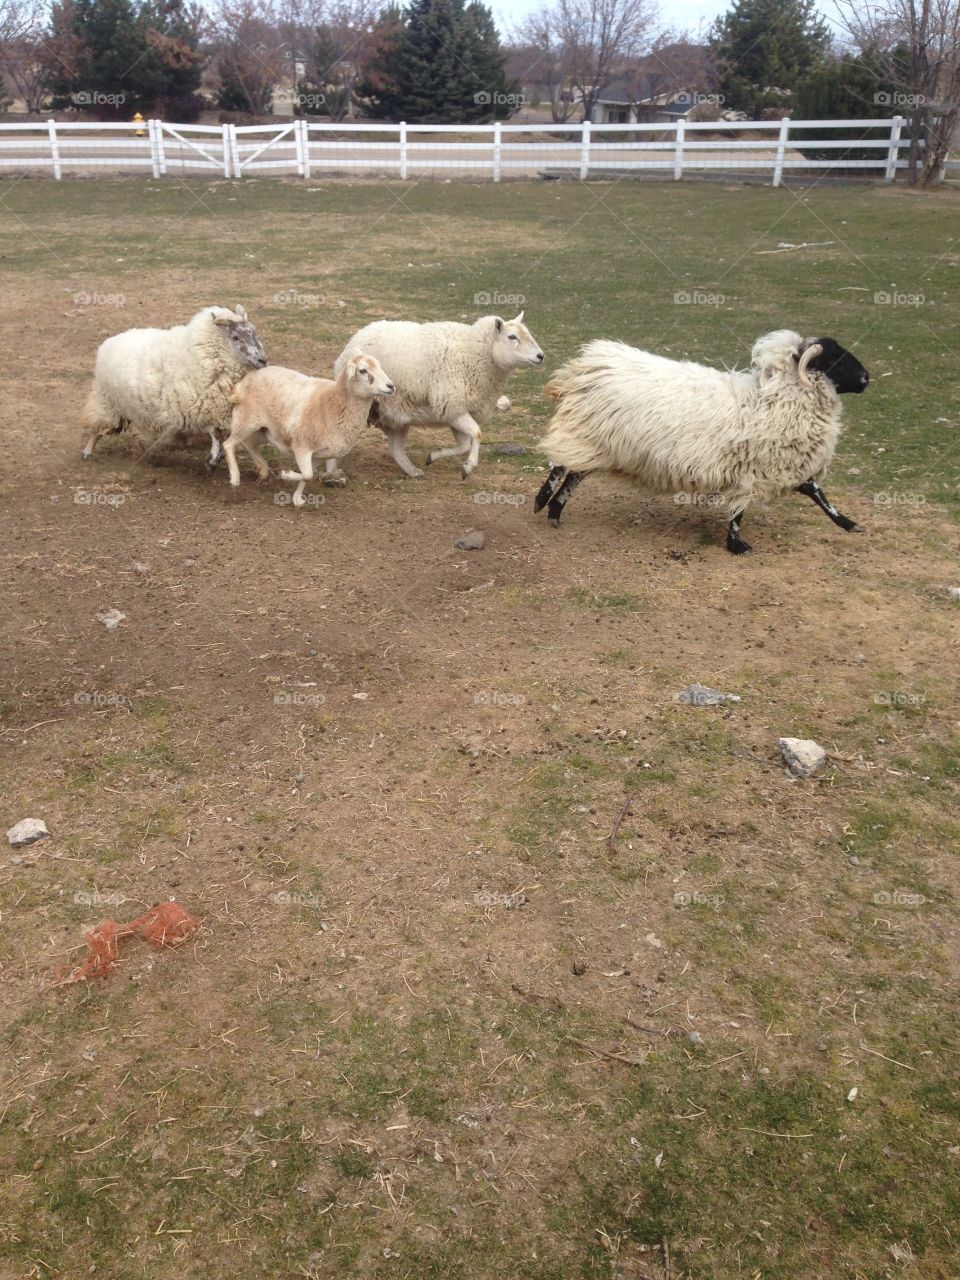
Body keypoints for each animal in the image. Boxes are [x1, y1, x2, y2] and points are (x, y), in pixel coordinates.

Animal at [81, 305, 267, 468]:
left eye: (254, 333)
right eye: (235, 337)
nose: (263, 360)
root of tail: (111, 340)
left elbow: (220, 434)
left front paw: (215, 458)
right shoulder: (196, 409)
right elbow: (215, 433)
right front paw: (213, 459)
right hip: (106, 402)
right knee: (96, 429)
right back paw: (88, 451)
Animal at [223, 353, 395, 508]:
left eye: (379, 366)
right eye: (363, 370)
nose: (391, 386)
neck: (333, 402)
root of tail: (243, 381)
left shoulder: (320, 455)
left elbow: (308, 476)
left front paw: (297, 499)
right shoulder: (302, 447)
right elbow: (307, 474)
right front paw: (286, 475)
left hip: (265, 430)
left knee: (248, 443)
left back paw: (263, 470)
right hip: (247, 420)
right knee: (228, 444)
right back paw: (235, 479)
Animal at [333, 312, 544, 480]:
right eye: (512, 336)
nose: (541, 356)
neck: (476, 355)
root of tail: (356, 337)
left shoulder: (456, 411)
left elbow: (465, 444)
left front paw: (434, 456)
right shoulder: (453, 406)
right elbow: (476, 434)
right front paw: (468, 467)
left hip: (396, 413)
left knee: (395, 449)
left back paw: (413, 471)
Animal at [534, 330, 869, 555]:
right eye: (836, 359)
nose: (867, 378)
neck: (779, 398)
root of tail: (587, 365)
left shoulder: (776, 466)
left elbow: (816, 493)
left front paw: (849, 524)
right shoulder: (757, 468)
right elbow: (741, 510)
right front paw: (737, 545)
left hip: (602, 443)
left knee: (575, 473)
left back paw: (555, 512)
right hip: (586, 432)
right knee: (561, 464)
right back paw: (542, 501)